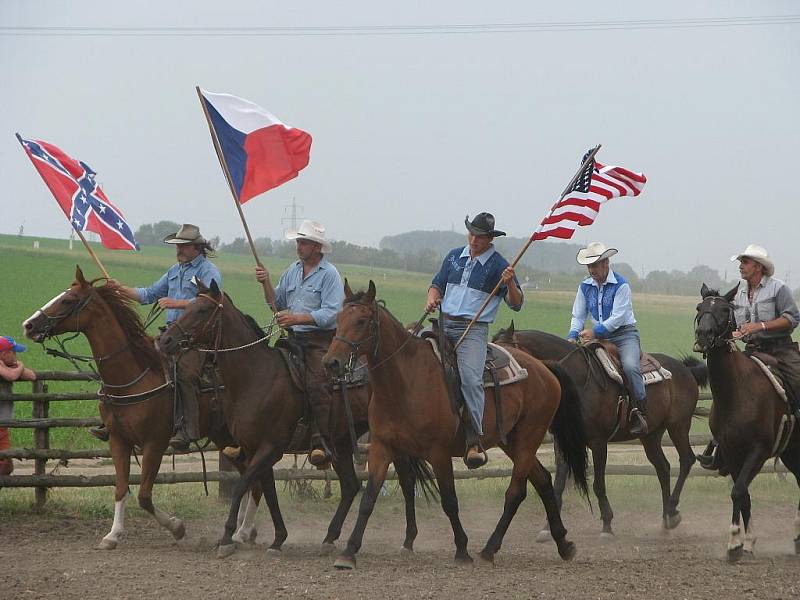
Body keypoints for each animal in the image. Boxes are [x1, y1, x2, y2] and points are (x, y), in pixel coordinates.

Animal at [21, 268, 260, 548]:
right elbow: (120, 488)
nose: (28, 325)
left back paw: (244, 530)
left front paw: (177, 527)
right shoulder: (118, 440)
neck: (133, 378)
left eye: (68, 300)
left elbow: (144, 496)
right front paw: (112, 535)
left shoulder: (154, 443)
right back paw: (246, 529)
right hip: (225, 438)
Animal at [158, 280, 432, 556]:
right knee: (350, 485)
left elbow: (242, 486)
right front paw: (278, 539)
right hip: (342, 441)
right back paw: (329, 537)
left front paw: (227, 537)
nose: (166, 339)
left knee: (406, 482)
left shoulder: (271, 447)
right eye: (189, 306)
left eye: (202, 310)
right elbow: (267, 491)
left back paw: (408, 540)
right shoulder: (255, 448)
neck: (256, 376)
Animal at [322, 278, 592, 568]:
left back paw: (489, 548)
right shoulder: (382, 447)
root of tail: (544, 368)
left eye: (361, 321)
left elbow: (449, 501)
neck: (407, 381)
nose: (331, 362)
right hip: (513, 440)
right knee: (542, 481)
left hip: (530, 437)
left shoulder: (438, 453)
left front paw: (462, 550)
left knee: (516, 492)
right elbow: (368, 499)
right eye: (338, 319)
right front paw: (348, 552)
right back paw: (563, 543)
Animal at [494, 324, 708, 540]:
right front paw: (547, 527)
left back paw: (672, 509)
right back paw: (666, 520)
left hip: (678, 425)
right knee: (663, 468)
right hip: (651, 435)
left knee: (686, 460)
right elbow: (558, 484)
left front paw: (607, 525)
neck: (577, 379)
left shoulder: (598, 441)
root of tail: (685, 370)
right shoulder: (563, 441)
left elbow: (598, 484)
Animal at [692, 284, 800, 560]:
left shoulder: (758, 451)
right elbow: (744, 495)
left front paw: (734, 543)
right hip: (791, 452)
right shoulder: (731, 452)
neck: (737, 391)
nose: (703, 335)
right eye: (700, 307)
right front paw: (747, 543)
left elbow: (738, 490)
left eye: (724, 309)